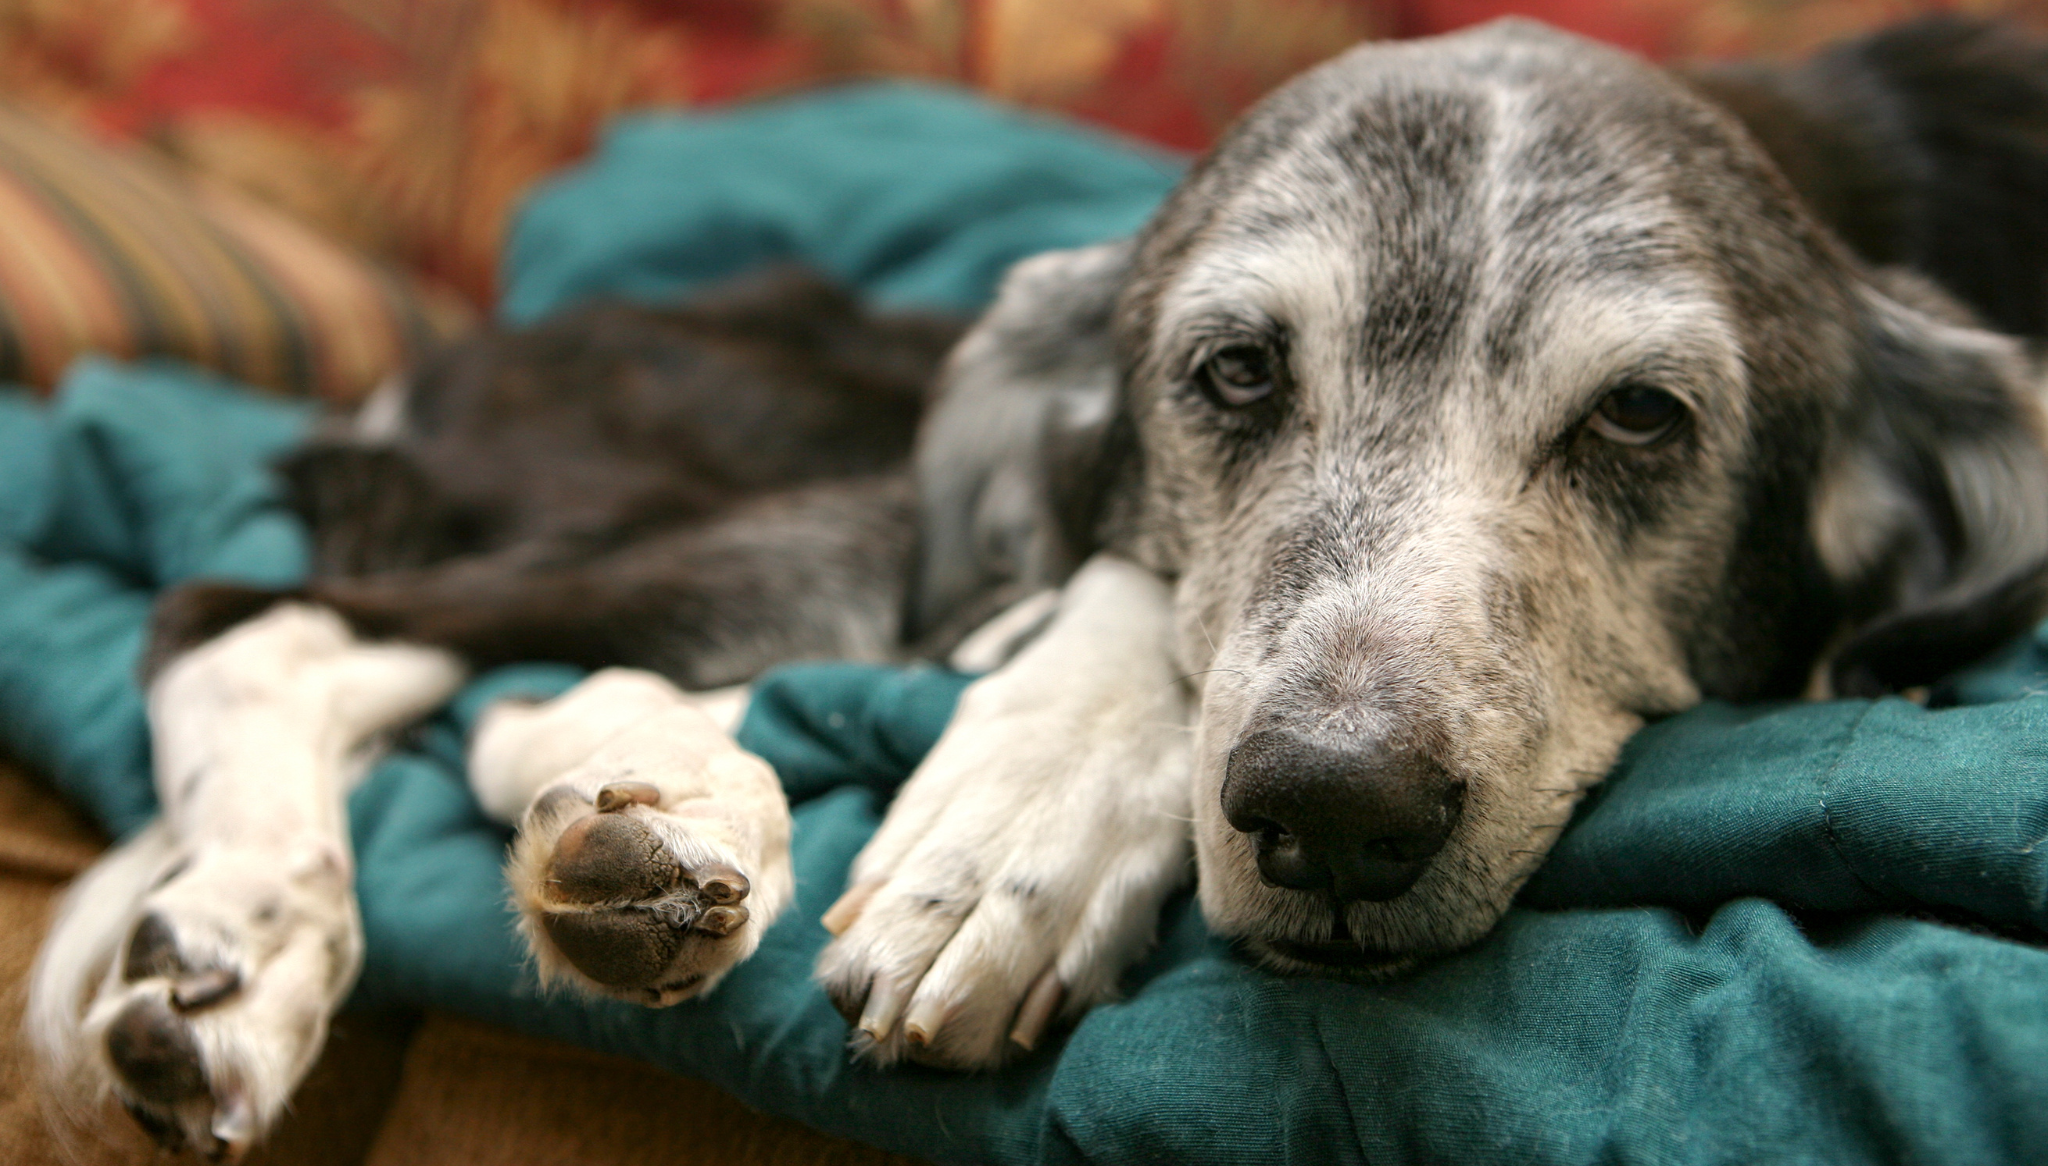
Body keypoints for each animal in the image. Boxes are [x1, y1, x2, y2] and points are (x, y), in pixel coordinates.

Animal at [24, 13, 2048, 1155]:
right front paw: (1014, 832)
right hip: (827, 513)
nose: (1334, 813)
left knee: (491, 688)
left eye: (1638, 415)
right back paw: (283, 923)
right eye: (1231, 372)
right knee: (256, 623)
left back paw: (634, 833)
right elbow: (1126, 602)